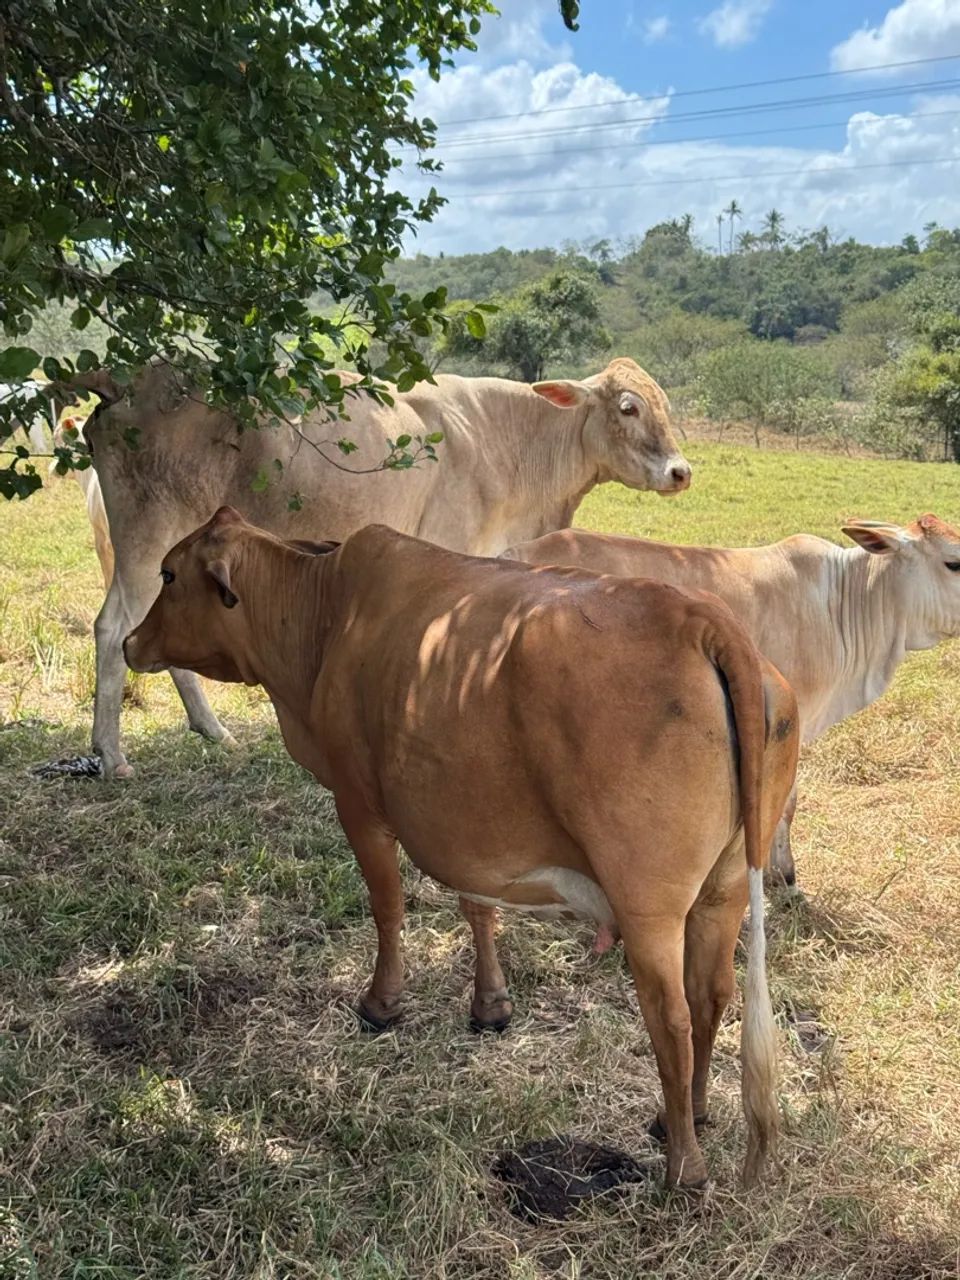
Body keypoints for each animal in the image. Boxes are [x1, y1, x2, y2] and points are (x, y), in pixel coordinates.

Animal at [78, 358, 691, 777]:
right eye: (628, 406)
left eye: (665, 403)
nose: (681, 471)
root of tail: (133, 379)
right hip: (147, 536)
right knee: (113, 627)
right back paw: (111, 755)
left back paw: (211, 729)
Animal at [123, 507, 799, 1189]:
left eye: (169, 574)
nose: (128, 643)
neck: (324, 616)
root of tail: (700, 618)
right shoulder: (470, 831)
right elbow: (478, 907)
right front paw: (490, 1006)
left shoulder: (359, 803)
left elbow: (388, 906)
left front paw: (382, 1003)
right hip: (724, 889)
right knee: (711, 995)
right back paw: (689, 1113)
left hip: (647, 903)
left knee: (673, 1016)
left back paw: (683, 1164)